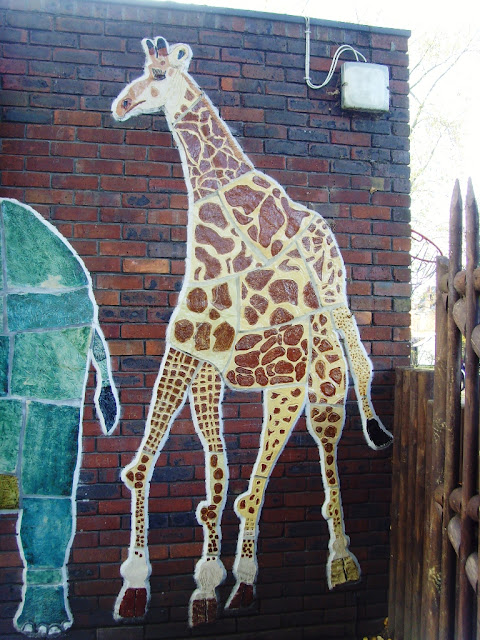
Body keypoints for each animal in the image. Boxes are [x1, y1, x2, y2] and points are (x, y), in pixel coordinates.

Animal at [111, 37, 393, 627]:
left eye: (157, 74)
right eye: (143, 68)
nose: (121, 105)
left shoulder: (188, 347)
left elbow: (165, 472)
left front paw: (147, 581)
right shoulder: (197, 357)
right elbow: (195, 478)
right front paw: (189, 585)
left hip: (323, 351)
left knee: (339, 406)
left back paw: (340, 554)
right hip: (289, 380)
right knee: (263, 478)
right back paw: (261, 578)